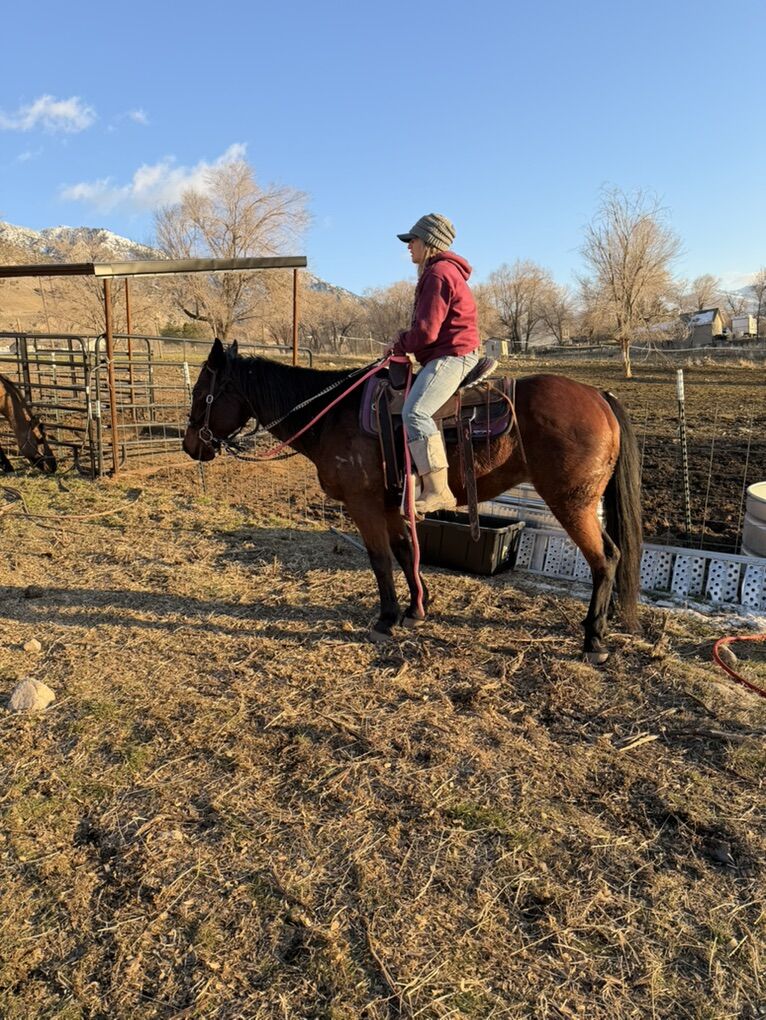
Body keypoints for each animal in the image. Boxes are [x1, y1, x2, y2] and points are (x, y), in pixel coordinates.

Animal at [182, 339, 642, 663]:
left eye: (202, 392)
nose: (190, 446)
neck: (332, 414)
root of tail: (599, 397)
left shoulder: (363, 504)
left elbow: (380, 560)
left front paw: (386, 619)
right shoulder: (389, 504)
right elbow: (405, 552)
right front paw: (417, 609)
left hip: (571, 503)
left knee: (604, 560)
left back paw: (594, 640)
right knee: (613, 556)